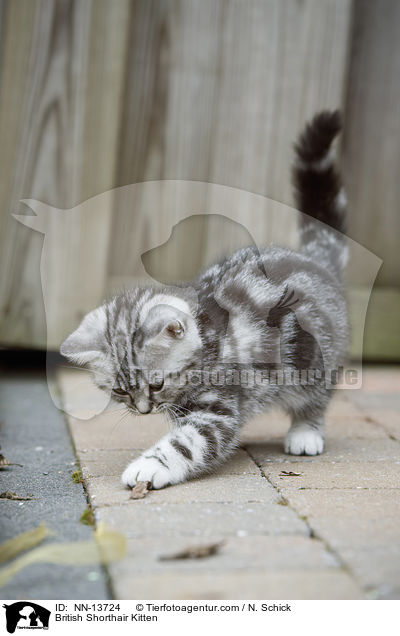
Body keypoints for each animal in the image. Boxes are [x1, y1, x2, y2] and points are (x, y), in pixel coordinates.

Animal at [61, 112, 348, 490]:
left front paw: (149, 466)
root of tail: (315, 259)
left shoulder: (220, 406)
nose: (144, 410)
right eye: (120, 392)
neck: (209, 337)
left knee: (316, 397)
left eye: (157, 383)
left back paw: (305, 432)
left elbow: (188, 443)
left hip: (313, 357)